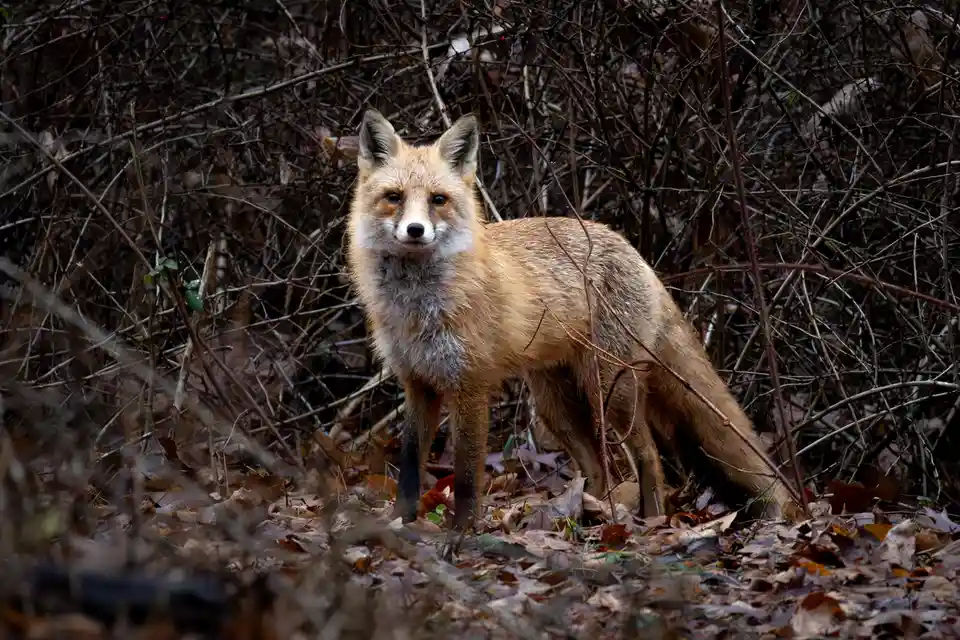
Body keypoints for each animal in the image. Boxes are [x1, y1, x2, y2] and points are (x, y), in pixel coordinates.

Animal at [345, 109, 800, 554]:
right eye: (394, 198)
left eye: (438, 200)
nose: (415, 230)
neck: (417, 307)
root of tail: (634, 251)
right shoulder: (417, 382)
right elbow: (409, 466)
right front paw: (400, 525)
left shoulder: (469, 385)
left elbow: (467, 475)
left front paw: (460, 535)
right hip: (556, 405)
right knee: (595, 469)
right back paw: (582, 520)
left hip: (610, 390)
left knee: (649, 456)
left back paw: (648, 523)